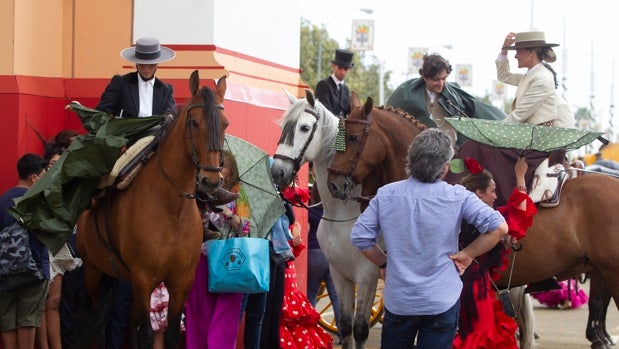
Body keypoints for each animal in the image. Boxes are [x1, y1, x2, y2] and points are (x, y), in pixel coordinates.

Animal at [75, 69, 228, 346]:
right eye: (193, 123)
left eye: (225, 124)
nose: (210, 181)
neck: (172, 210)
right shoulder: (143, 277)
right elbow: (146, 334)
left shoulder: (181, 281)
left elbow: (170, 334)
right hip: (94, 271)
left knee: (130, 319)